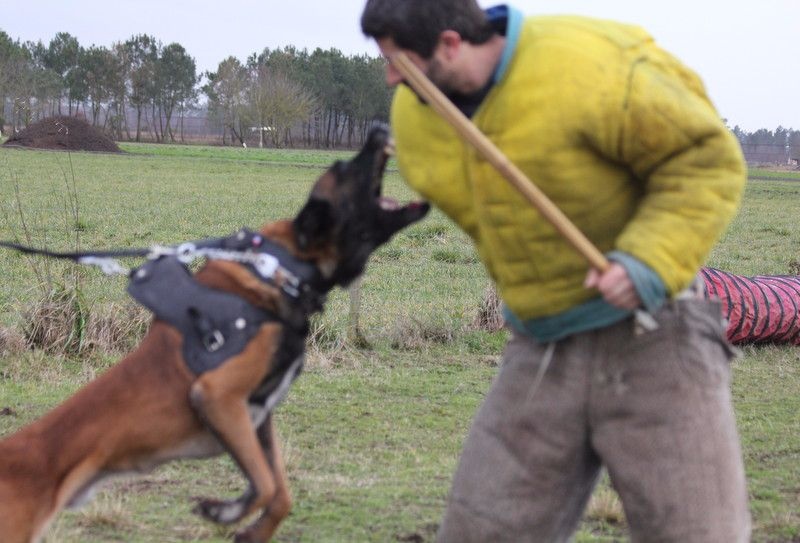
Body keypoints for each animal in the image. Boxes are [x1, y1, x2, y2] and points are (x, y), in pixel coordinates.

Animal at [0, 125, 428, 540]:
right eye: (343, 168)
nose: (379, 128)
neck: (279, 268)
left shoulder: (256, 416)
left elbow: (279, 492)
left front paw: (251, 530)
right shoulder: (219, 397)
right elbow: (266, 486)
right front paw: (228, 513)